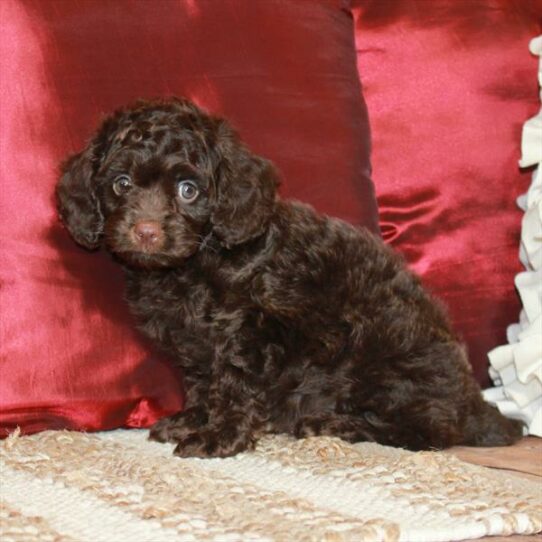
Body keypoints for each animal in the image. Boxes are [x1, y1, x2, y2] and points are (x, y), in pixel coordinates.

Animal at [55, 99, 524, 460]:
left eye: (189, 190)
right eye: (121, 183)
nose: (146, 231)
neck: (197, 263)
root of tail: (473, 403)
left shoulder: (256, 330)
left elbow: (234, 383)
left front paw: (218, 437)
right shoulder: (199, 347)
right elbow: (204, 383)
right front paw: (191, 420)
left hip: (387, 363)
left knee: (427, 432)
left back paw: (333, 423)